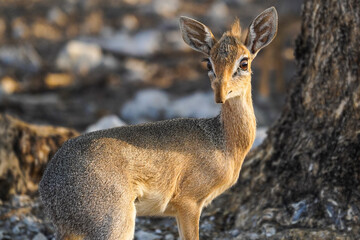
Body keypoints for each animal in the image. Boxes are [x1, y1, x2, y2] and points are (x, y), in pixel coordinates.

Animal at [40, 7, 278, 240]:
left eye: (244, 62)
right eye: (208, 62)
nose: (220, 94)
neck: (222, 141)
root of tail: (49, 187)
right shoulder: (189, 202)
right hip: (116, 223)